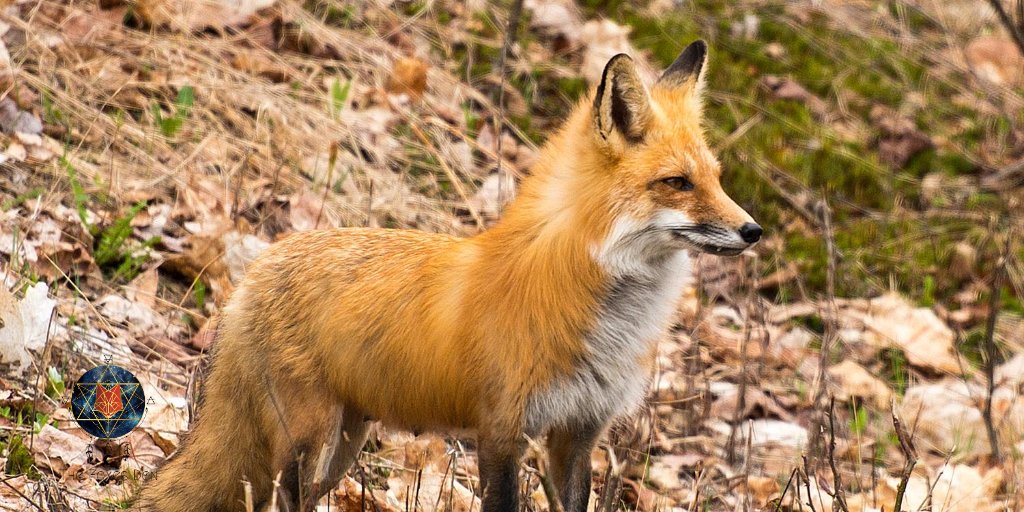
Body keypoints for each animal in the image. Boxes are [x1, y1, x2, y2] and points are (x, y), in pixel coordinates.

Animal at [138, 40, 761, 512]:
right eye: (677, 183)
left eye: (716, 178)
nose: (752, 230)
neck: (606, 314)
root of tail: (258, 266)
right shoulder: (502, 432)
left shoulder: (576, 437)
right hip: (307, 440)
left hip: (343, 444)